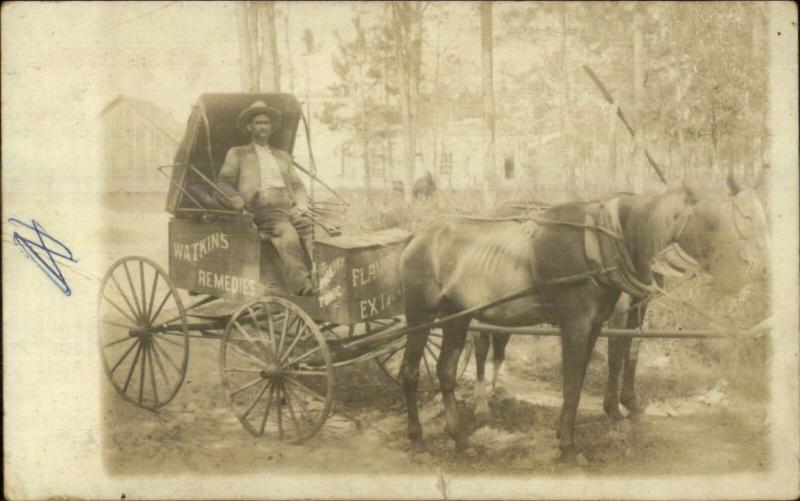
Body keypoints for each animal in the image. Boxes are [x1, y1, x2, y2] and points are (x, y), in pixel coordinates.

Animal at [400, 179, 768, 460]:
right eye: (712, 223)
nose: (746, 271)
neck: (605, 244)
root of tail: (416, 237)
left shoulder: (596, 325)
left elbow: (588, 377)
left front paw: (588, 424)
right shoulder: (577, 326)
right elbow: (579, 379)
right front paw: (570, 445)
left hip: (455, 317)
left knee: (446, 373)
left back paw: (461, 439)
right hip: (421, 316)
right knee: (411, 372)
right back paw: (418, 438)